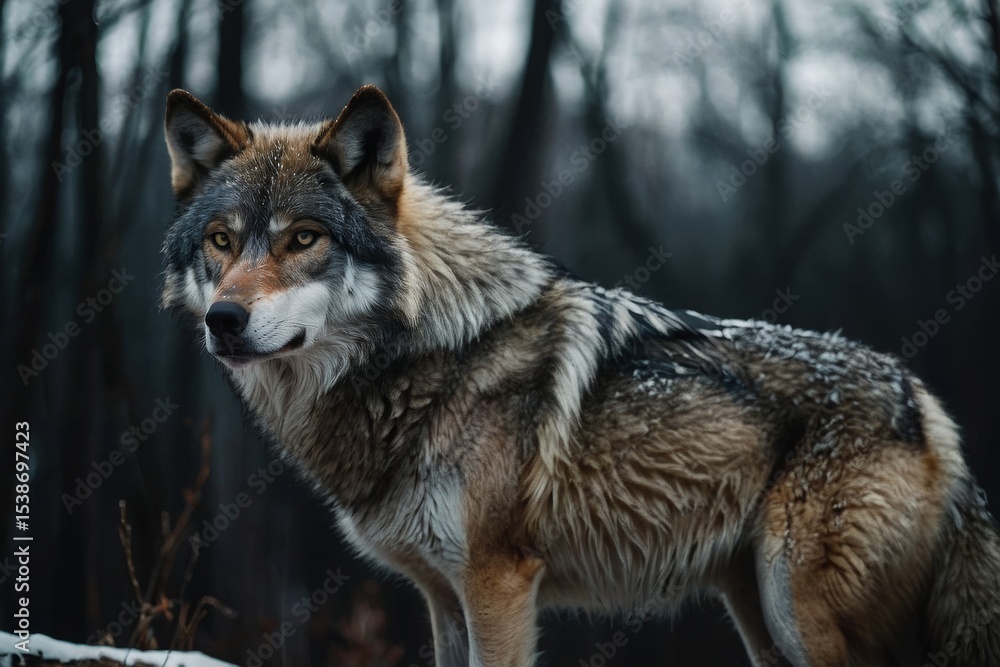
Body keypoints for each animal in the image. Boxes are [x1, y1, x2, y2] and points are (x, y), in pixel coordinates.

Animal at [161, 84, 1000, 666]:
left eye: (303, 238)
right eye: (220, 240)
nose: (223, 320)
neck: (435, 357)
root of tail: (923, 399)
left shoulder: (499, 583)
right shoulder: (442, 594)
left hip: (799, 609)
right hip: (760, 613)